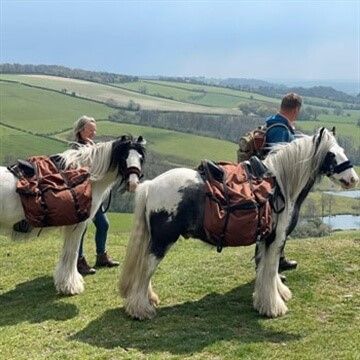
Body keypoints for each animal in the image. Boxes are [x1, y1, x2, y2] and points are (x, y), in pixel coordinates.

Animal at [1, 135, 146, 296]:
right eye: (124, 157)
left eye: (140, 158)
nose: (133, 184)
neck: (84, 176)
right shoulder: (77, 226)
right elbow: (71, 253)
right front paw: (70, 286)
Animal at [120, 128, 358, 320]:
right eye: (331, 154)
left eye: (342, 150)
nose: (353, 179)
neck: (280, 185)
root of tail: (151, 185)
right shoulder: (276, 239)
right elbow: (271, 268)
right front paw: (273, 306)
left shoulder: (265, 239)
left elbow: (265, 268)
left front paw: (271, 297)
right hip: (162, 241)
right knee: (145, 270)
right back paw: (140, 309)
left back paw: (148, 300)